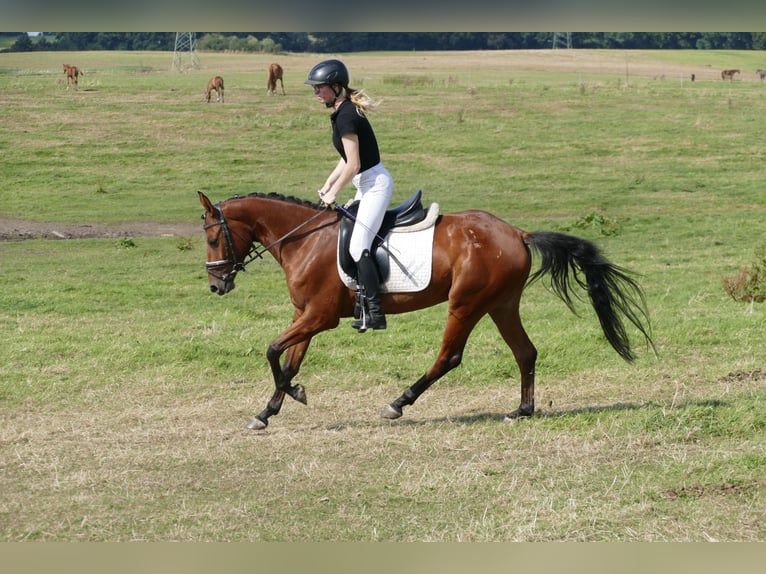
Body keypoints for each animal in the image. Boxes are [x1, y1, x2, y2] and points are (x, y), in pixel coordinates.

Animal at [198, 191, 656, 430]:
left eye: (212, 238)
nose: (216, 285)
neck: (304, 239)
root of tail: (517, 232)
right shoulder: (304, 317)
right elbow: (288, 360)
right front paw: (269, 410)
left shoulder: (320, 317)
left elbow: (272, 350)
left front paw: (290, 396)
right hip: (502, 304)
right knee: (525, 352)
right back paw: (522, 410)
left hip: (466, 303)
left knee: (449, 356)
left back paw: (399, 402)